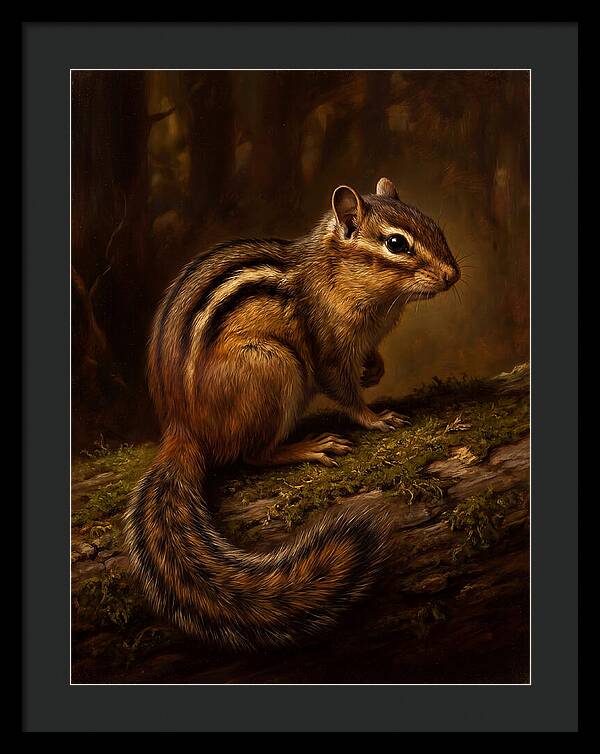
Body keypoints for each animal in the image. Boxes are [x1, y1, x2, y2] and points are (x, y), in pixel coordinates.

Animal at [124, 177, 460, 650]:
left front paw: (375, 369)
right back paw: (309, 447)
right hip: (274, 366)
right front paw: (376, 418)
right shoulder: (328, 348)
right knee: (251, 454)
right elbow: (343, 391)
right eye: (396, 244)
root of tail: (182, 428)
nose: (453, 275)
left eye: (435, 226)